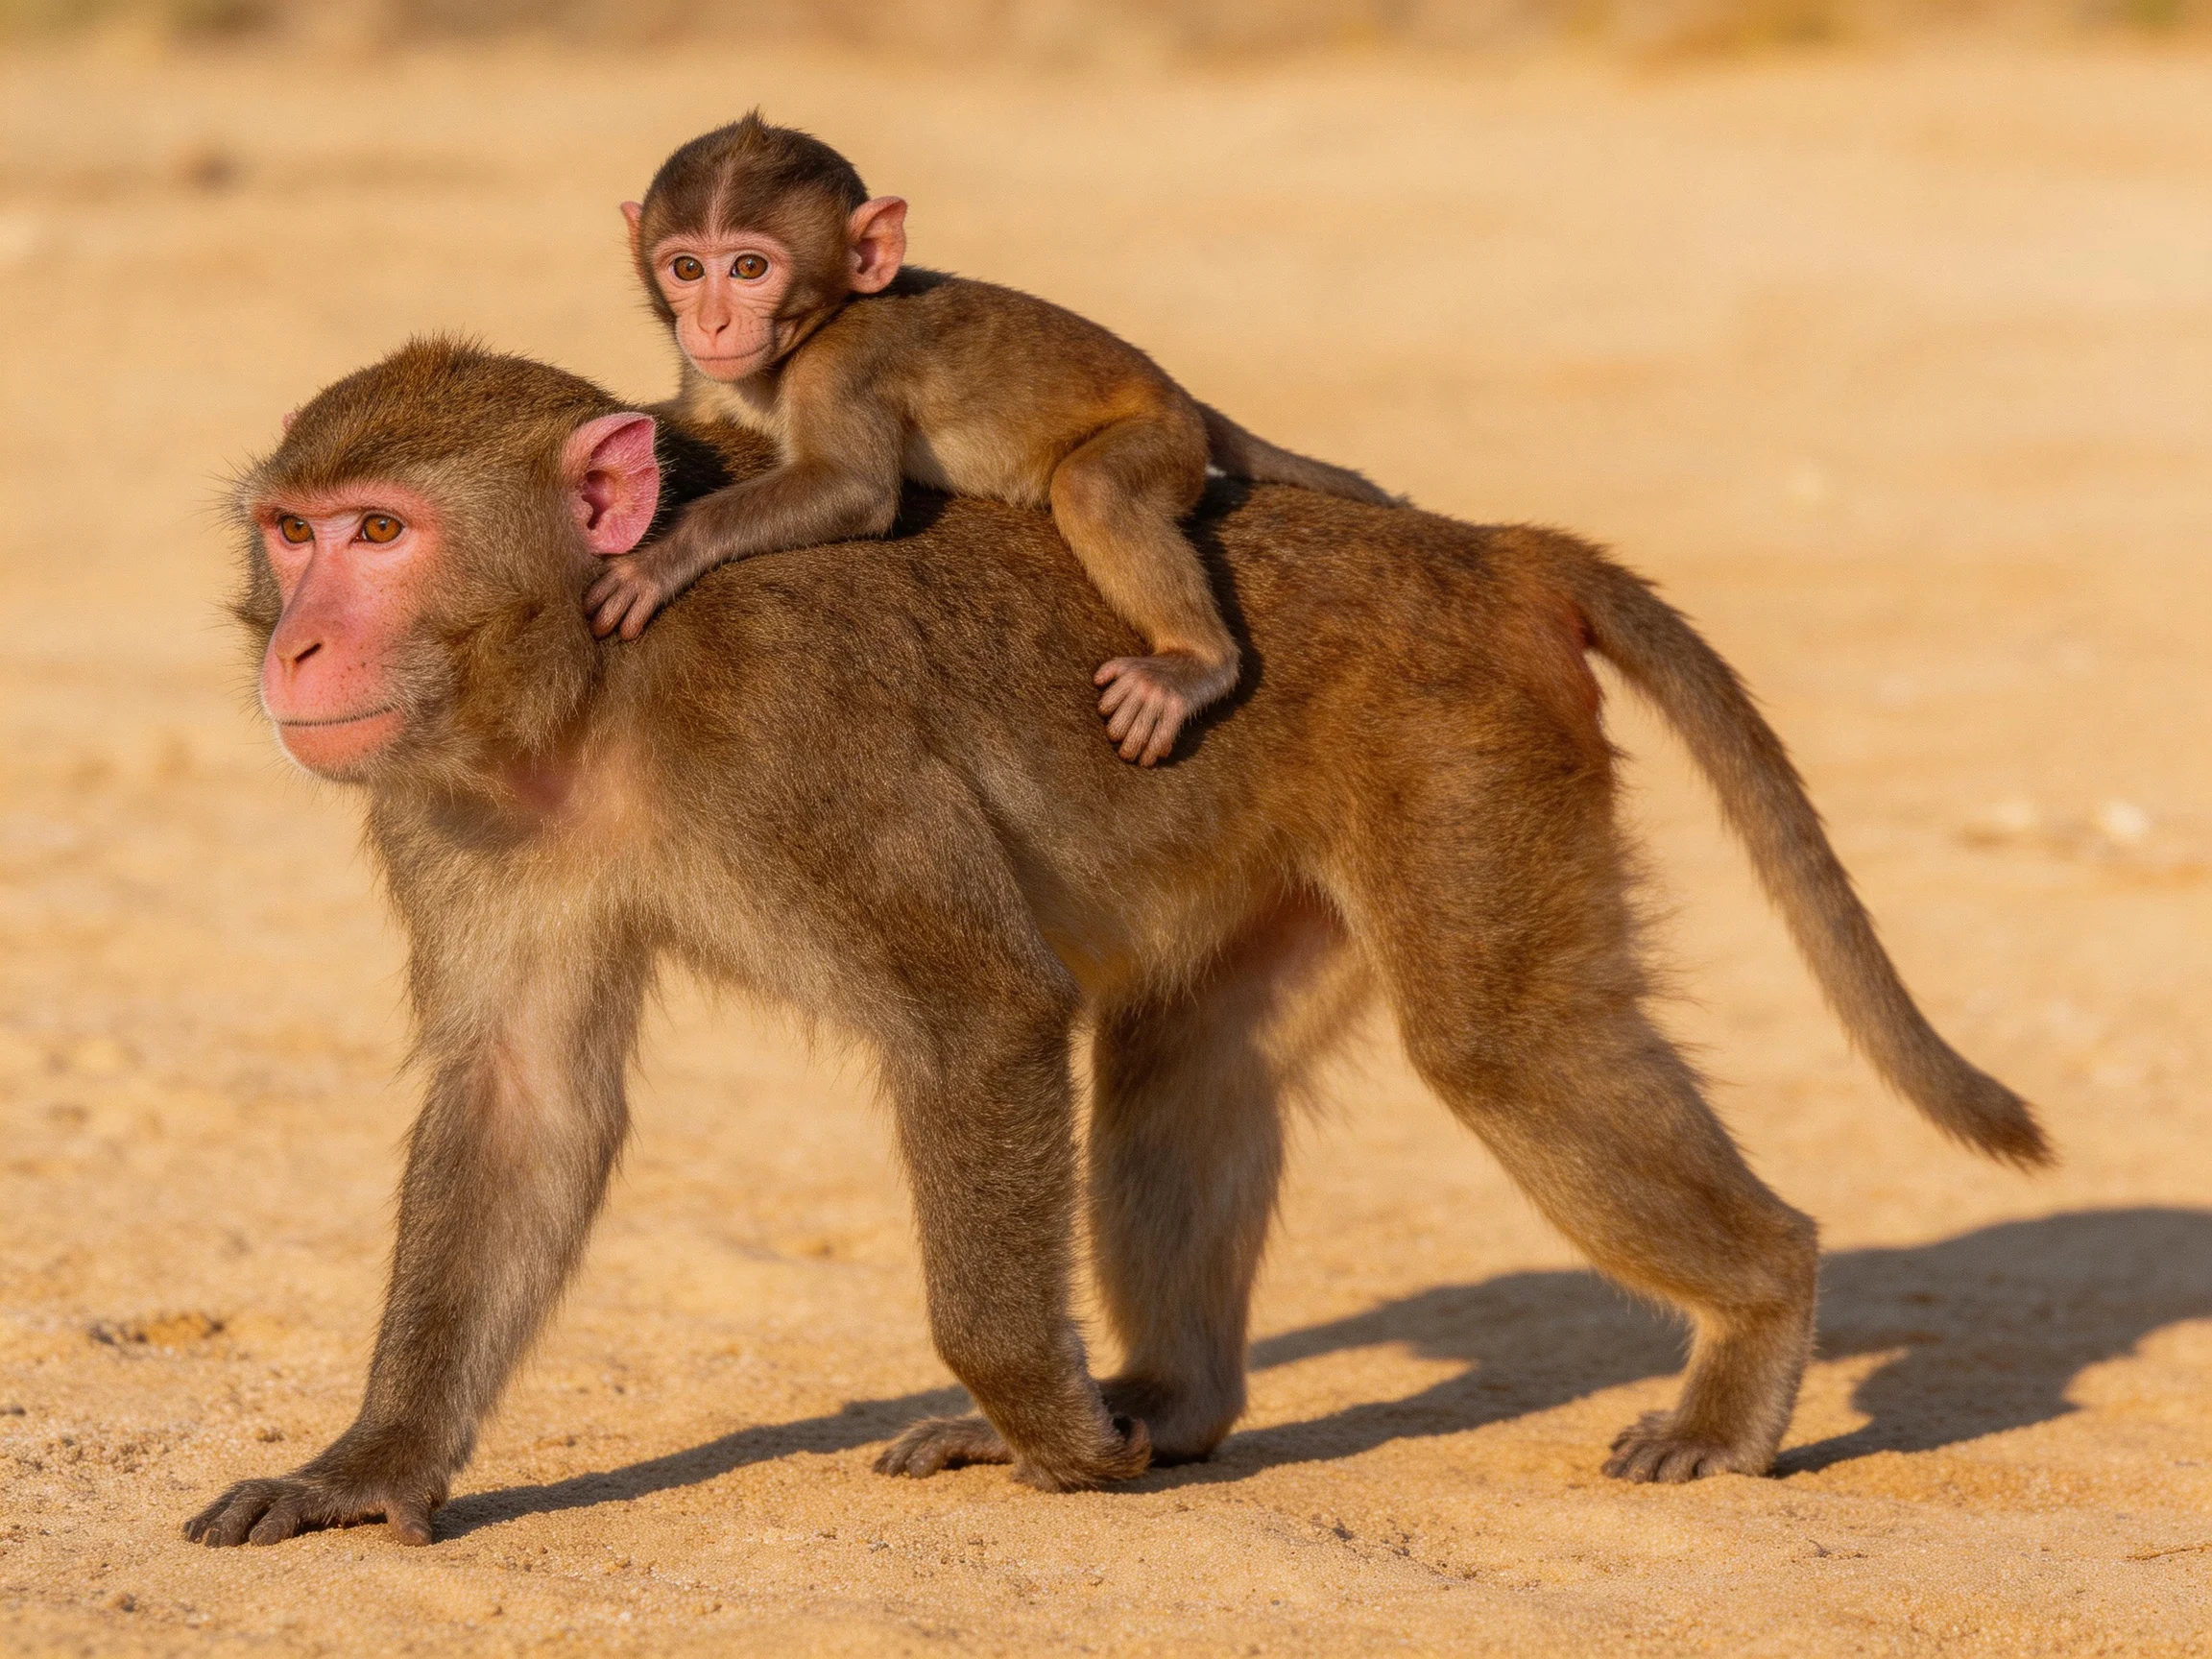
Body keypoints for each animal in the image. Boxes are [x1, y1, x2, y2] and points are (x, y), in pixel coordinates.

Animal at [185, 337, 2045, 1549]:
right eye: (292, 532)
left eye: (380, 535)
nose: (292, 650)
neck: (598, 670)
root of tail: (1478, 549)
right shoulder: (453, 807)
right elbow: (521, 1098)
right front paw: (373, 1465)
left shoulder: (794, 738)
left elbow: (981, 1016)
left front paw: (1055, 1436)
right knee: (1186, 1057)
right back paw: (1178, 1398)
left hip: (1463, 755)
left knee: (1502, 1046)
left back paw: (1751, 1322)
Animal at [584, 114, 1398, 769]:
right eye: (688, 268)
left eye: (749, 267)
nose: (713, 323)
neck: (811, 330)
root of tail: (1178, 394)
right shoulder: (711, 377)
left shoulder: (845, 364)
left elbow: (854, 488)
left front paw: (661, 554)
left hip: (1162, 438)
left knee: (1093, 488)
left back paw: (1194, 659)